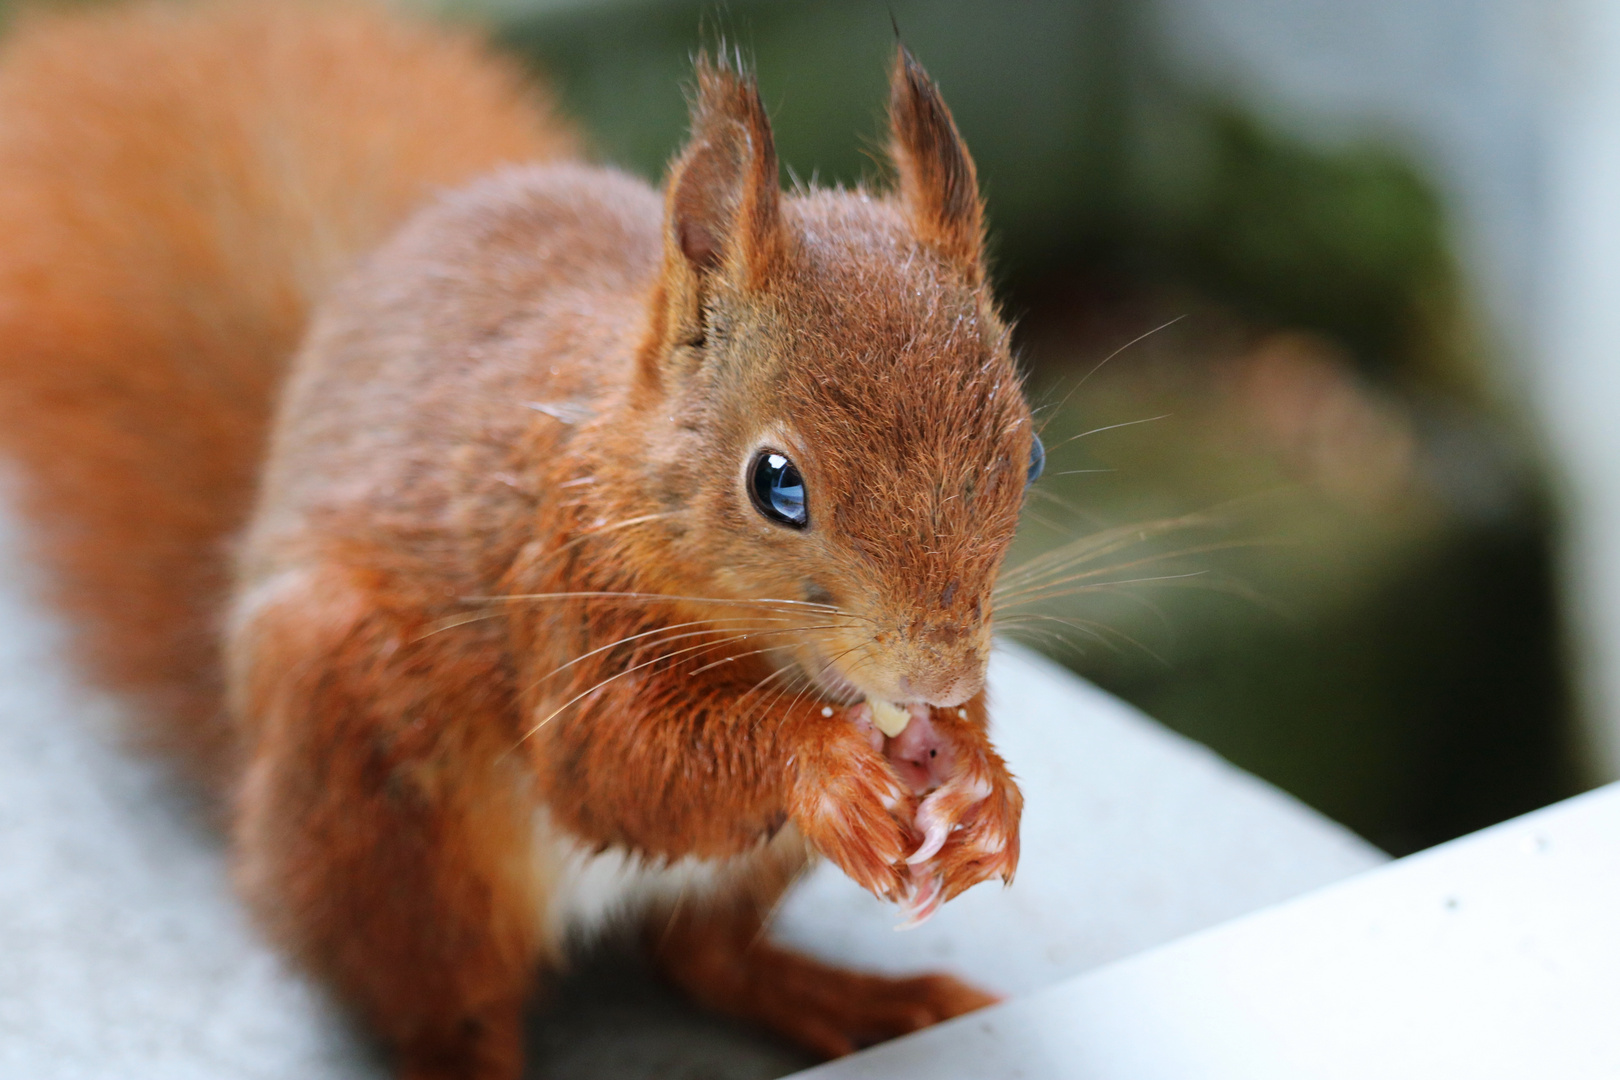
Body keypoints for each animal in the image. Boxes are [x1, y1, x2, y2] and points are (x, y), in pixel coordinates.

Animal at [0, 4, 1036, 1075]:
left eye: (1031, 453)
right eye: (776, 483)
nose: (935, 678)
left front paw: (981, 786)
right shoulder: (554, 582)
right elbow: (613, 765)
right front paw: (823, 761)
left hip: (736, 870)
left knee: (708, 961)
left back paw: (858, 998)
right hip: (379, 789)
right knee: (440, 1002)